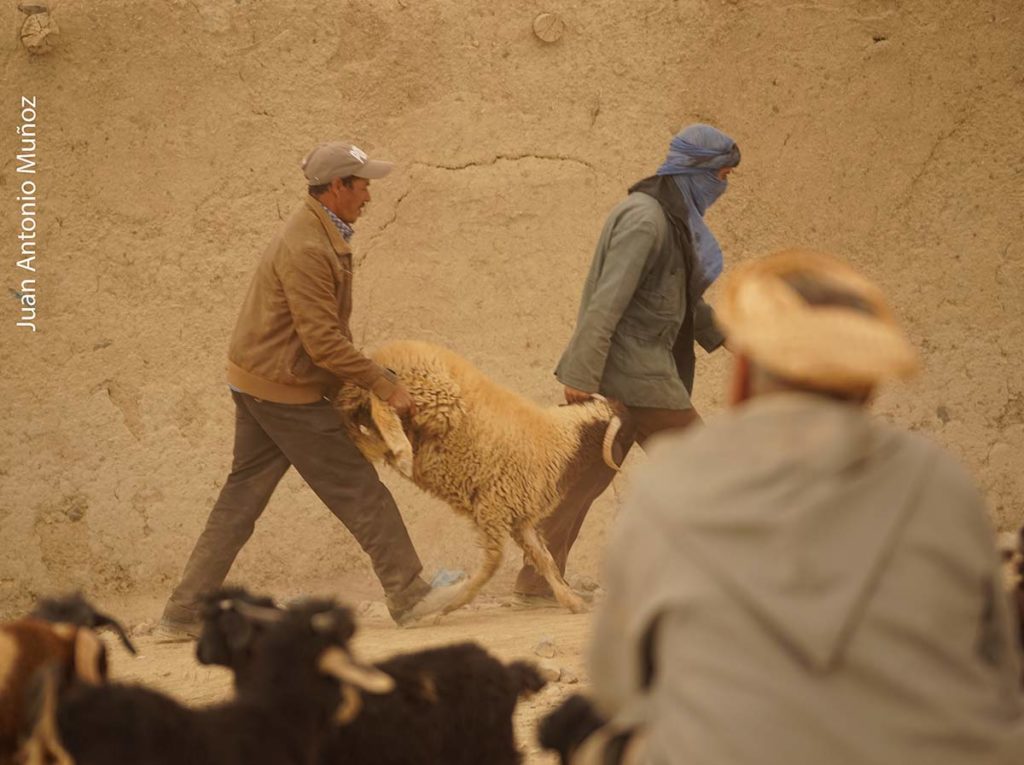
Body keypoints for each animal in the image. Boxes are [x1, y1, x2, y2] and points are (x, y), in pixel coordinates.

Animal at [335, 337, 622, 618]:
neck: (560, 441)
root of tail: (388, 352)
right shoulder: (493, 508)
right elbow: (492, 565)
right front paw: (455, 601)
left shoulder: (520, 520)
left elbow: (544, 560)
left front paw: (571, 601)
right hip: (432, 397)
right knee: (382, 397)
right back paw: (400, 449)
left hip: (383, 401)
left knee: (354, 412)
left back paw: (374, 446)